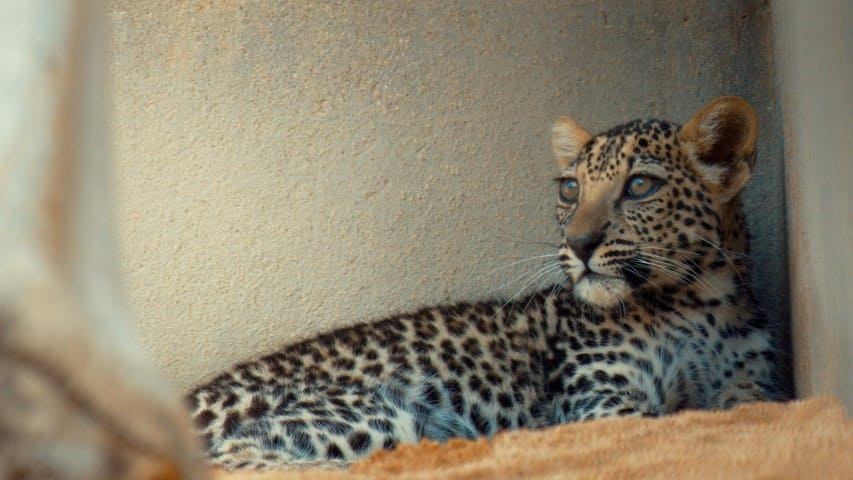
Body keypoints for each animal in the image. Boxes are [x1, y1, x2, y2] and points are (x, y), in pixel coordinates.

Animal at [188, 96, 784, 470]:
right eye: (570, 189)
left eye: (639, 186)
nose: (579, 245)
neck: (697, 305)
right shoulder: (602, 402)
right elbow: (667, 429)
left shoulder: (753, 386)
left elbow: (743, 418)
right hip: (375, 413)